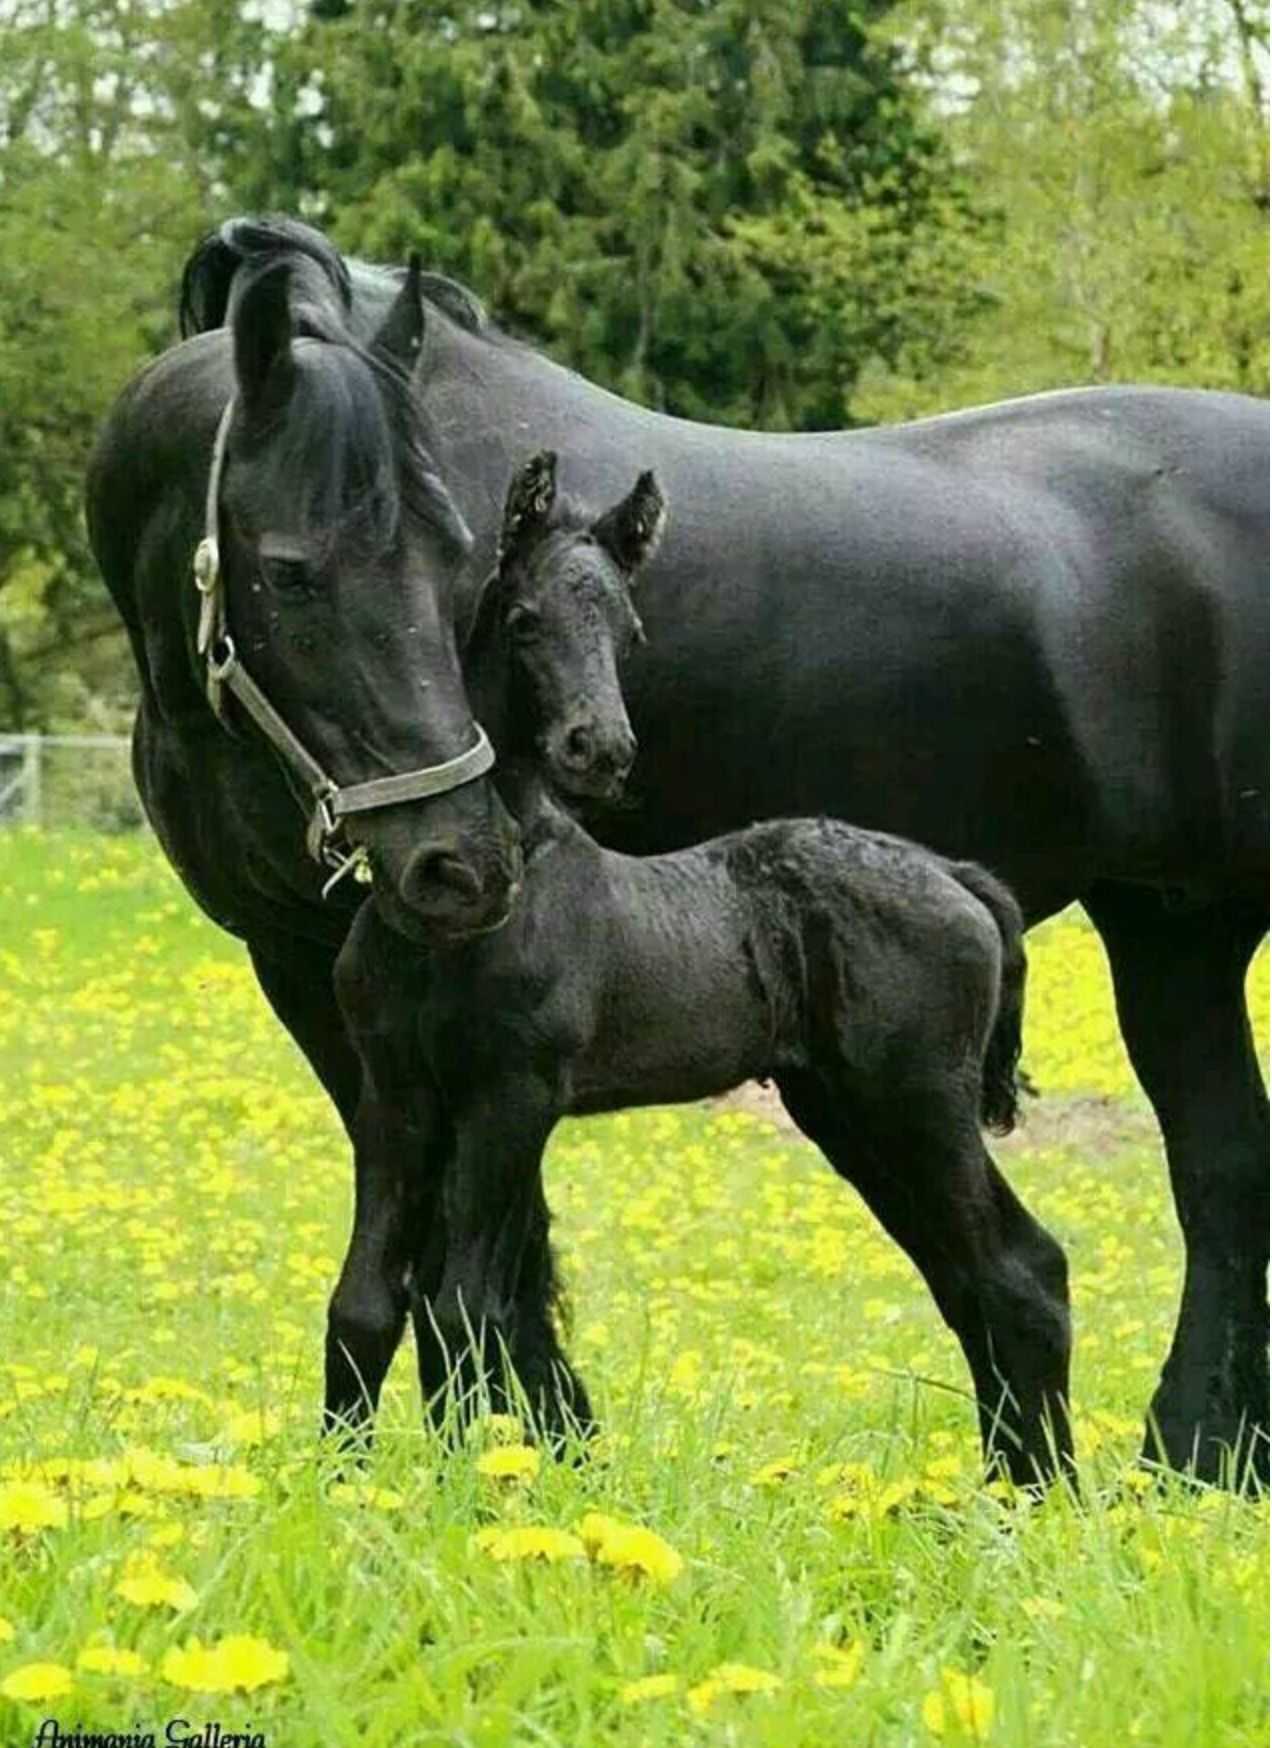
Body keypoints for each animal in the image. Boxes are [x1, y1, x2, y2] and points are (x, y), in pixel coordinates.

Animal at [331, 451, 1072, 1485]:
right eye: (524, 619)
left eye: (629, 633)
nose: (599, 749)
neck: (470, 906)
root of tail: (957, 877)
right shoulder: (394, 1097)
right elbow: (367, 1302)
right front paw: (341, 1488)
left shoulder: (513, 1097)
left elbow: (462, 1309)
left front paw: (464, 1491)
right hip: (850, 1111)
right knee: (974, 1280)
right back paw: (1009, 1489)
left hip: (918, 1101)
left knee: (1022, 1271)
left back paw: (1043, 1496)